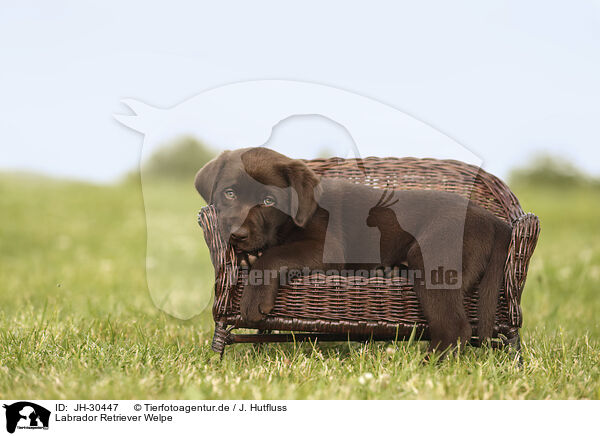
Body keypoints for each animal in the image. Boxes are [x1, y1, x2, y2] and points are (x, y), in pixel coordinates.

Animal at [196, 148, 510, 352]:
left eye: (269, 201)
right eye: (229, 193)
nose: (236, 235)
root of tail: (494, 221)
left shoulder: (327, 249)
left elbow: (276, 256)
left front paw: (254, 296)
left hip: (434, 260)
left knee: (455, 328)